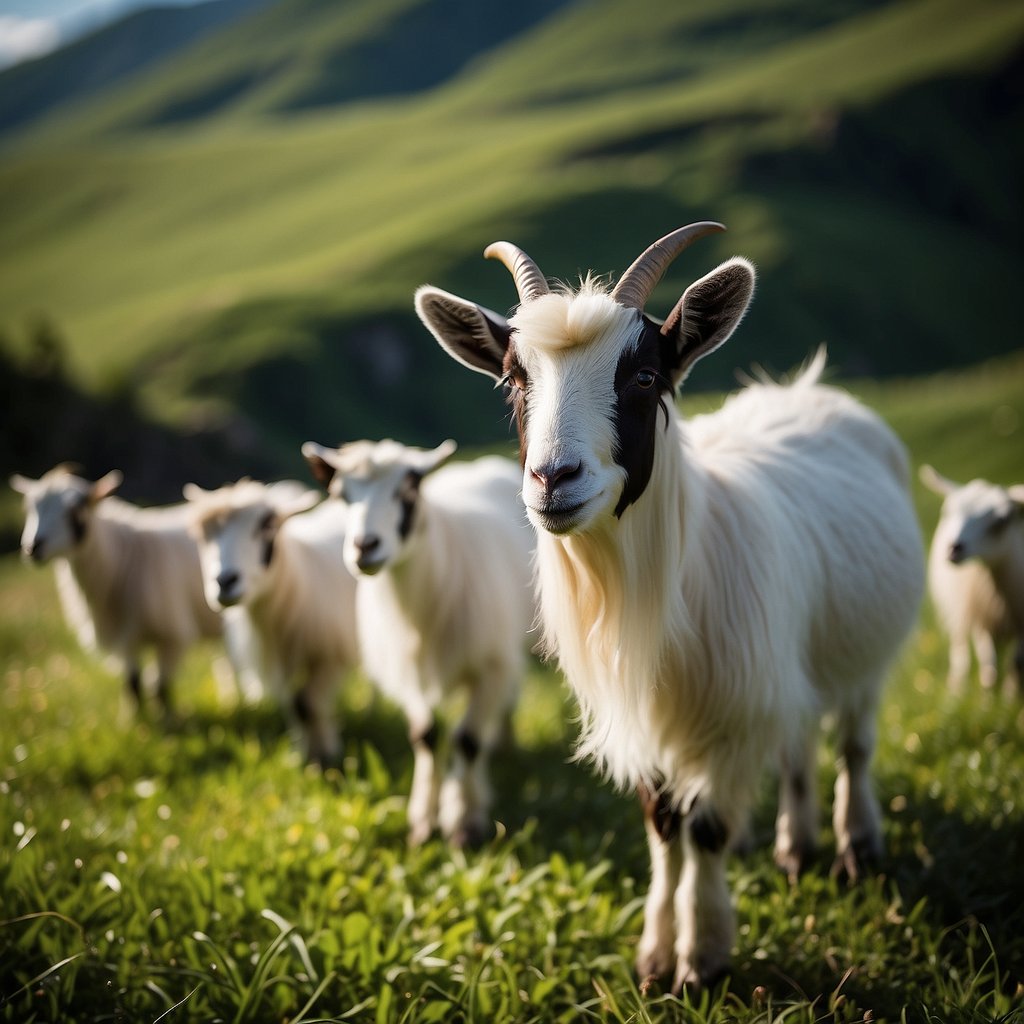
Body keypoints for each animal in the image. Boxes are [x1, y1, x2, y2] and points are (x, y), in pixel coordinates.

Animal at [10, 464, 244, 712]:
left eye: (74, 510)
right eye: (30, 507)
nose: (32, 547)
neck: (121, 558)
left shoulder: (172, 634)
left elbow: (160, 687)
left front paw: (169, 719)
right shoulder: (125, 637)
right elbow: (133, 683)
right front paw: (134, 717)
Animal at [184, 479, 358, 766]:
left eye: (267, 527)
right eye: (203, 535)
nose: (225, 582)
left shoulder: (331, 655)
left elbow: (306, 704)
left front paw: (325, 754)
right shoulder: (280, 660)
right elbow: (294, 705)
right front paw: (306, 754)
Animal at [302, 438, 535, 848]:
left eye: (408, 492)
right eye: (340, 495)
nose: (364, 547)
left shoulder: (489, 664)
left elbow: (468, 740)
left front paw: (465, 822)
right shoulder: (409, 671)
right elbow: (425, 737)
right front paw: (423, 821)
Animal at [415, 223, 924, 989]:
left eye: (645, 377)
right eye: (513, 379)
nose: (552, 479)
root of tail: (808, 391)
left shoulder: (731, 712)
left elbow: (706, 828)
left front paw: (703, 957)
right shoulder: (658, 717)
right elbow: (664, 827)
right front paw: (656, 954)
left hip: (862, 655)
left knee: (854, 744)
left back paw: (856, 842)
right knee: (798, 745)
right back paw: (795, 845)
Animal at [920, 464, 1024, 693]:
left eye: (1002, 520)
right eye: (948, 511)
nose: (953, 548)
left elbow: (1014, 665)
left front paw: (1009, 696)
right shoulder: (979, 618)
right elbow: (989, 665)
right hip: (959, 610)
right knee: (961, 654)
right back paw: (956, 691)